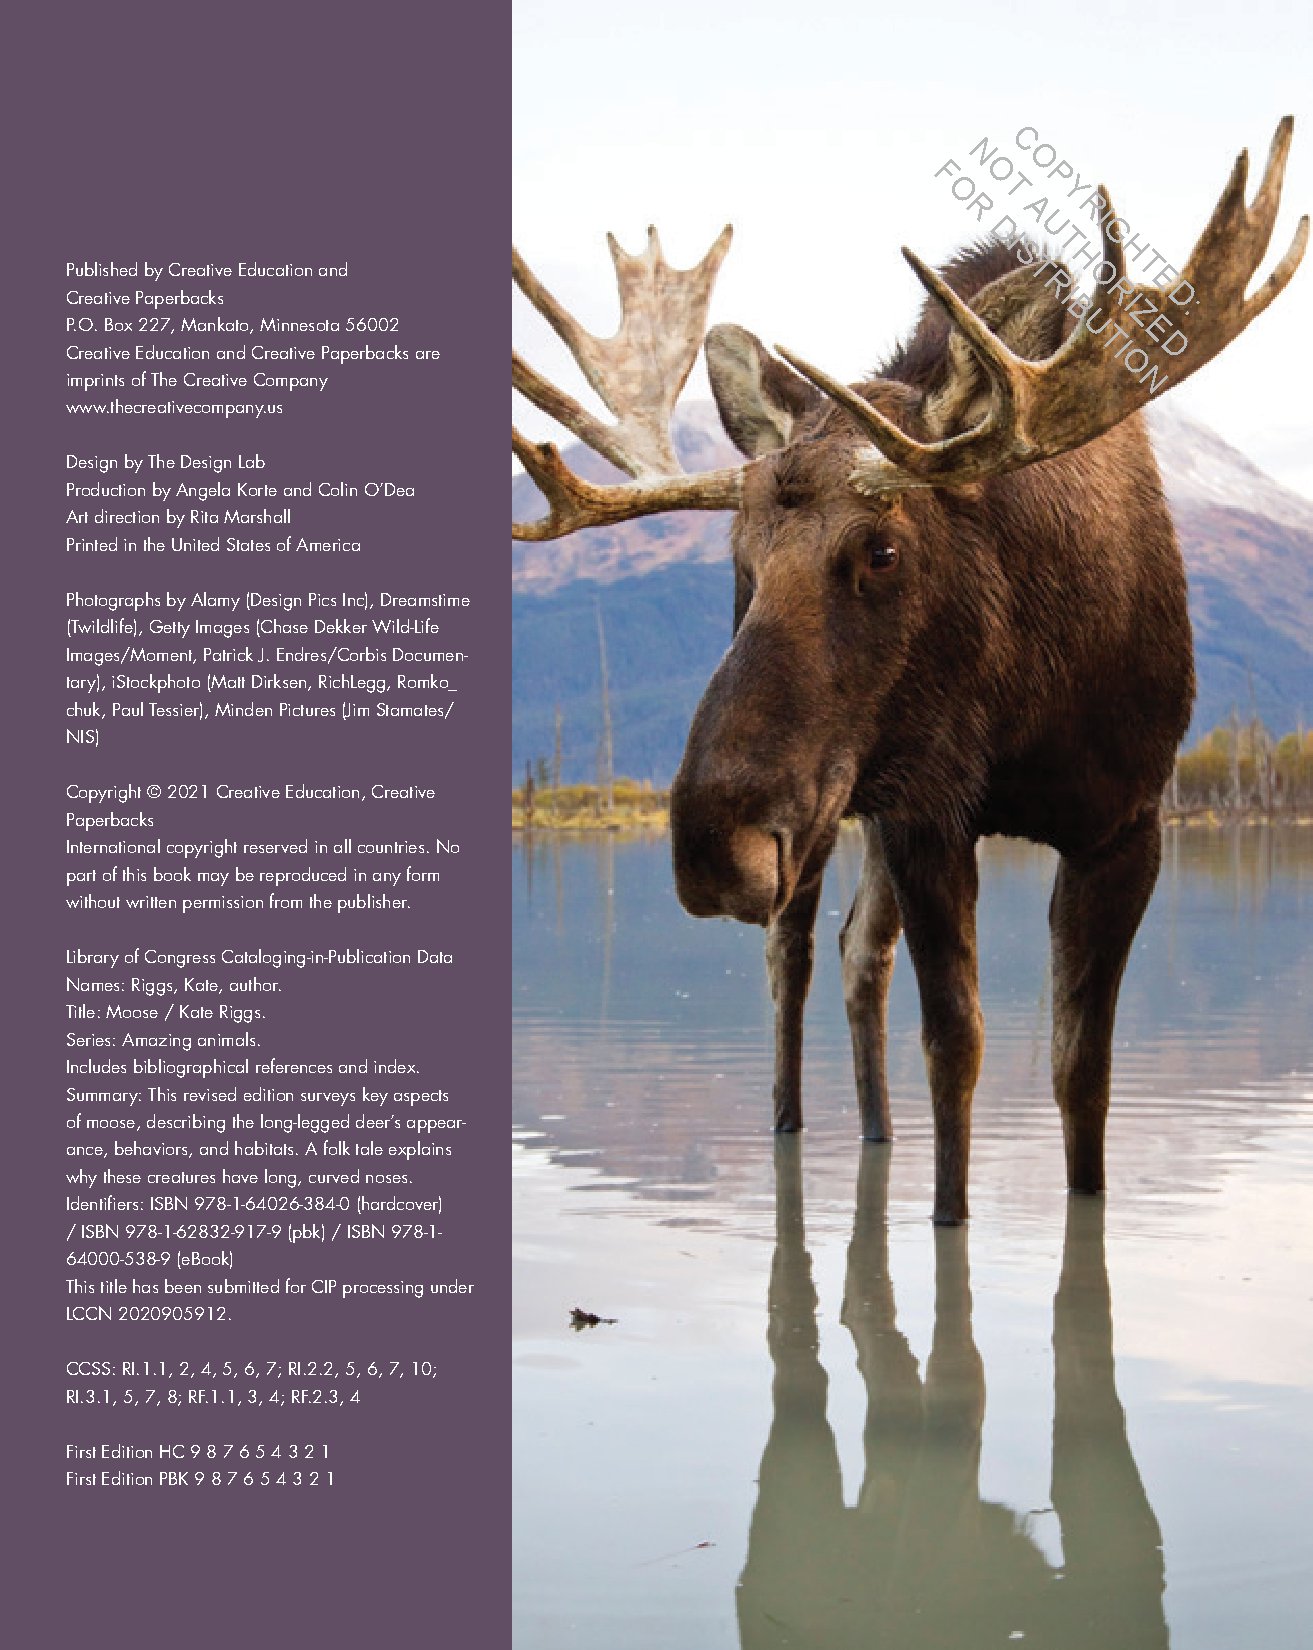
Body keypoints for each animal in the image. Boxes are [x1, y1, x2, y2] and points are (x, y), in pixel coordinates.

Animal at [512, 119, 1306, 1223]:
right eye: (739, 563)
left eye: (881, 549)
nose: (711, 845)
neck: (1025, 695)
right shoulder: (926, 813)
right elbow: (955, 1048)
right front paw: (947, 1215)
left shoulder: (1124, 822)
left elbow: (1080, 1072)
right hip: (829, 819)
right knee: (801, 959)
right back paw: (793, 1123)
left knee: (859, 955)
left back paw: (874, 1137)